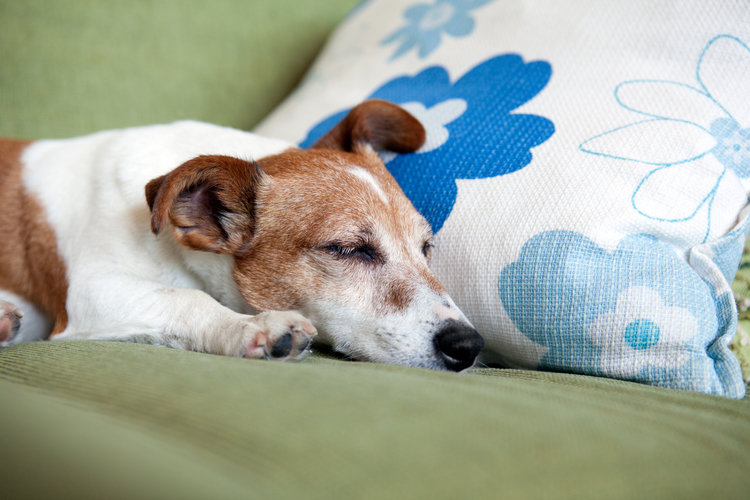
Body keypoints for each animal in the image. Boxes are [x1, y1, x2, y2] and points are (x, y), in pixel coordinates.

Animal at [0, 98, 484, 372]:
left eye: (425, 248)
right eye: (348, 250)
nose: (469, 345)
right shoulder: (89, 292)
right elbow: (188, 299)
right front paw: (252, 327)